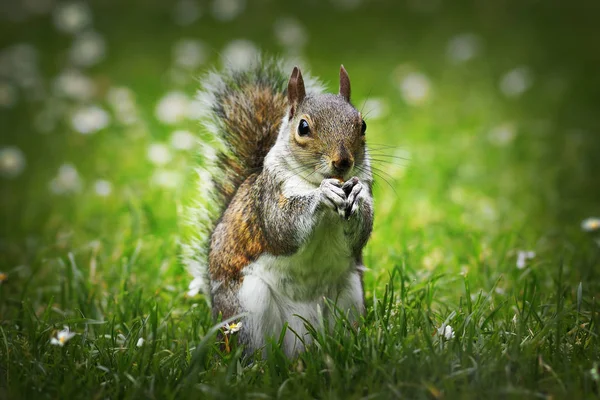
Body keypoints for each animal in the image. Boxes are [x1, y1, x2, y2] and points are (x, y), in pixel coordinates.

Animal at [182, 57, 376, 354]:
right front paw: (322, 194)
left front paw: (353, 195)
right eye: (303, 127)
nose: (343, 162)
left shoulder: (366, 186)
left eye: (362, 125)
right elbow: (282, 226)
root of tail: (302, 343)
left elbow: (361, 231)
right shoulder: (269, 197)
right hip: (247, 307)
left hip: (350, 296)